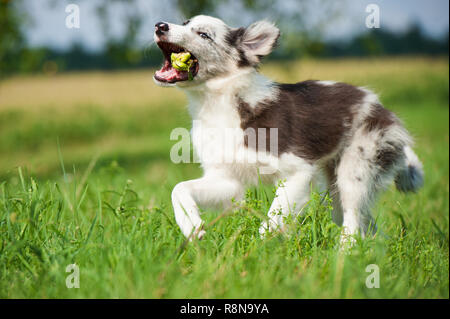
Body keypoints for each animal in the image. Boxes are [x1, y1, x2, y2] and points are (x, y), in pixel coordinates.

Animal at [153, 15, 424, 245]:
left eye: (204, 35)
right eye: (184, 23)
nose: (159, 25)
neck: (217, 103)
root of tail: (384, 110)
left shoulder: (299, 171)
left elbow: (271, 220)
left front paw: (263, 252)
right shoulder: (227, 180)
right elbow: (179, 189)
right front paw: (191, 226)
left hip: (354, 173)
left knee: (353, 224)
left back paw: (342, 260)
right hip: (337, 186)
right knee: (366, 227)